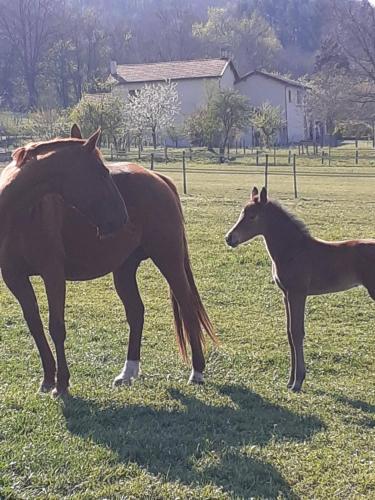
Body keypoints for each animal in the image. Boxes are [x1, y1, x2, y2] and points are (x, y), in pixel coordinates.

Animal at [2, 124, 214, 394]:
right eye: (102, 172)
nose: (122, 218)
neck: (21, 215)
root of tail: (159, 178)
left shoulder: (53, 275)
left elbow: (56, 327)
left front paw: (62, 383)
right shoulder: (14, 278)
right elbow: (35, 326)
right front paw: (48, 380)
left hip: (169, 260)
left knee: (187, 307)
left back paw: (197, 371)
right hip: (124, 269)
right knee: (136, 312)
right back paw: (128, 372)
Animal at [226, 187, 375, 390]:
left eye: (252, 216)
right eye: (242, 213)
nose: (229, 238)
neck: (293, 251)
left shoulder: (298, 293)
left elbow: (297, 333)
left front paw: (298, 381)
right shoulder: (286, 295)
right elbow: (289, 333)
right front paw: (290, 381)